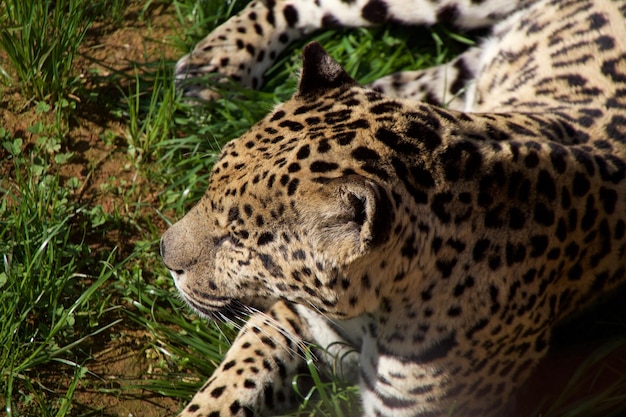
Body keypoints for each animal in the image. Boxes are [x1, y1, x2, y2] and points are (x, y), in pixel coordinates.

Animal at [160, 0, 624, 414]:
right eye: (210, 182)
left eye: (238, 240)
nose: (164, 255)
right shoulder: (287, 319)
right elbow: (228, 387)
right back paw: (213, 69)